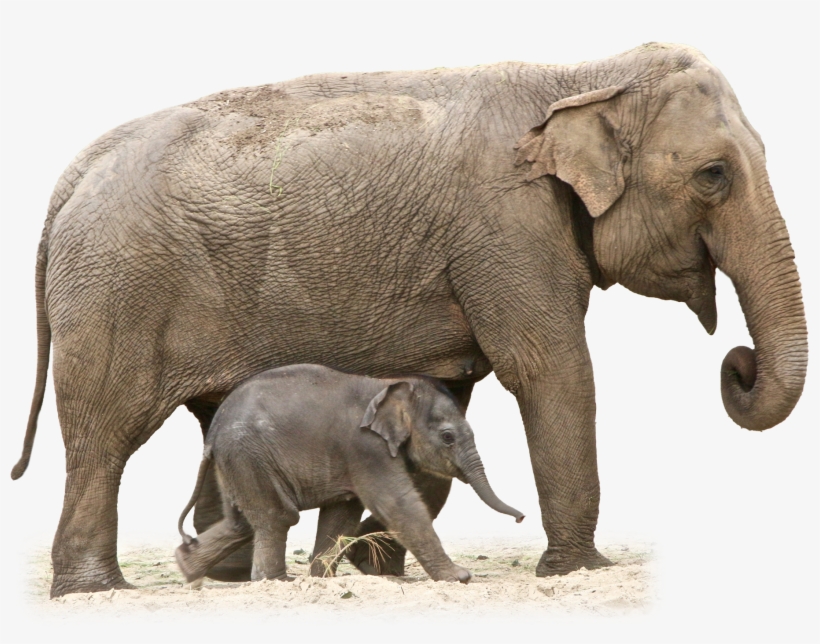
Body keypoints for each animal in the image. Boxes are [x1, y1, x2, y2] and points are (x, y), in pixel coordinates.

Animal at [174, 364, 524, 585]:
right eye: (448, 437)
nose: (521, 518)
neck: (391, 384)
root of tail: (212, 435)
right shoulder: (365, 448)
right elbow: (397, 504)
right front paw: (459, 578)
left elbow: (341, 514)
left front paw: (321, 580)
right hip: (249, 455)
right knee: (278, 516)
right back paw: (276, 582)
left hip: (237, 461)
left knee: (242, 522)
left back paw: (187, 569)